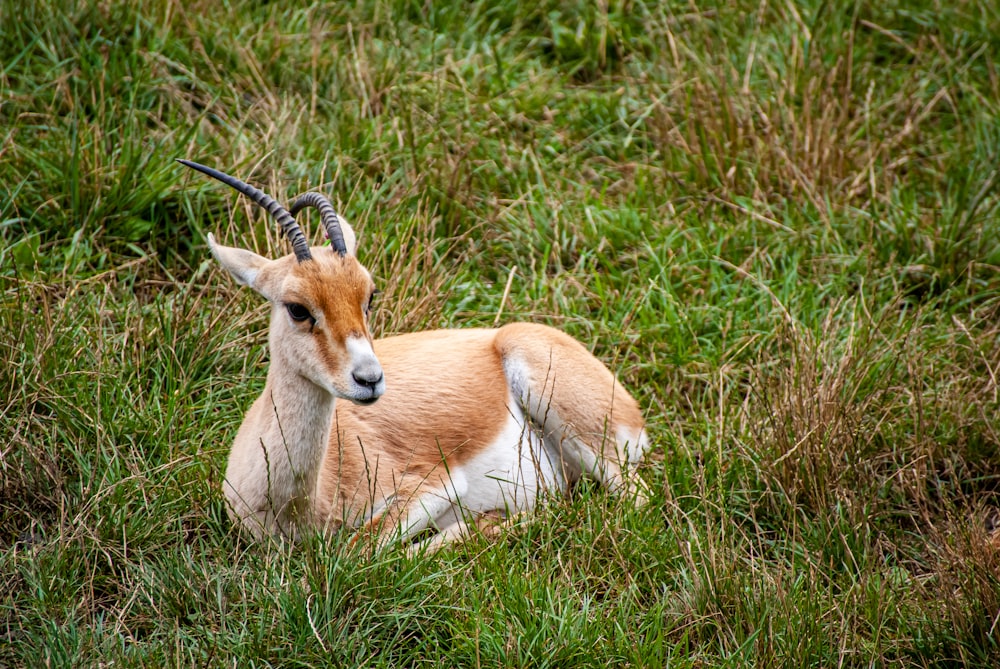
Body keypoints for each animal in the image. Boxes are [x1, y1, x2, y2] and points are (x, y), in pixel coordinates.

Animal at [183, 160, 652, 548]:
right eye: (297, 307)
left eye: (369, 295)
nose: (369, 379)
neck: (302, 505)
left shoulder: (434, 484)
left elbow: (360, 550)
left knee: (631, 501)